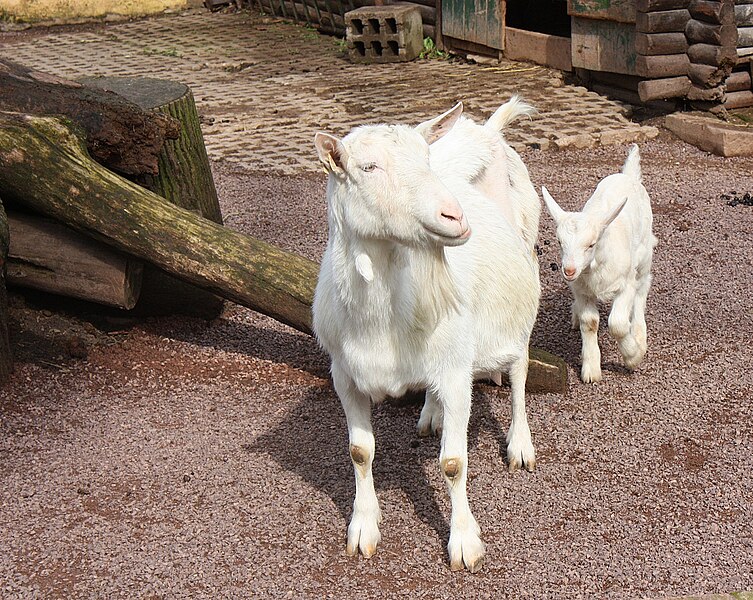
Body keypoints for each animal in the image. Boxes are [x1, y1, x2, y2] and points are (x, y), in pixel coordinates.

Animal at [312, 101, 540, 576]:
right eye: (368, 167)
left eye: (425, 158)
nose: (453, 216)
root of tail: (488, 130)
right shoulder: (344, 373)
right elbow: (359, 451)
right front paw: (363, 528)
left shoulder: (455, 374)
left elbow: (453, 463)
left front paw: (465, 542)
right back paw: (431, 414)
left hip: (522, 288)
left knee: (519, 369)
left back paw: (520, 443)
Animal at [540, 143, 656, 382]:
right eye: (559, 241)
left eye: (591, 244)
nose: (569, 270)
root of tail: (627, 175)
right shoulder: (582, 290)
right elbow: (590, 323)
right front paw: (591, 369)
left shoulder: (625, 284)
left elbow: (618, 324)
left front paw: (633, 357)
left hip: (644, 253)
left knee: (642, 288)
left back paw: (639, 335)